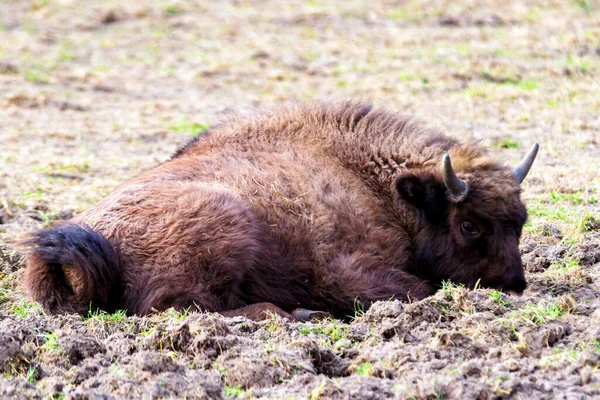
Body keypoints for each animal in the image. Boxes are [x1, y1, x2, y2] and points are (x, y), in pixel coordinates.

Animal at [23, 103, 540, 322]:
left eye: (519, 223)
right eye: (469, 225)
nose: (515, 285)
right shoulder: (347, 272)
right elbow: (419, 288)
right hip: (227, 223)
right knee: (176, 307)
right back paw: (299, 314)